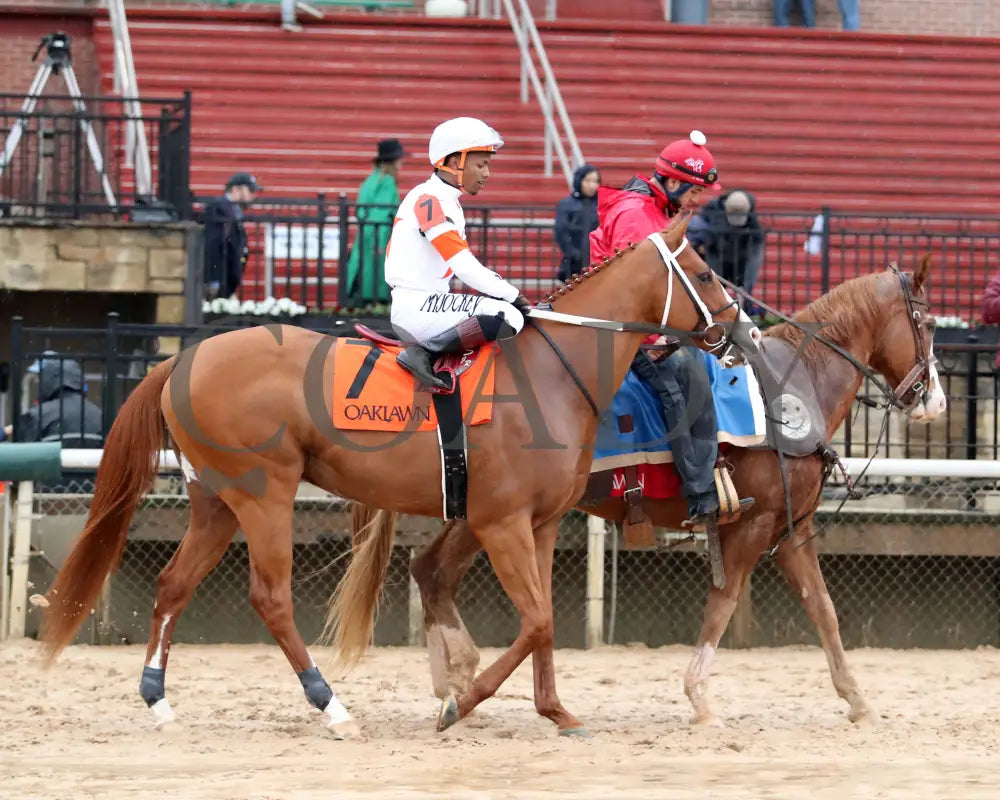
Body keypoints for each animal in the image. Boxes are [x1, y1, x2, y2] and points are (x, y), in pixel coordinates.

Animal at [37, 214, 756, 736]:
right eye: (703, 271)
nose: (744, 333)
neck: (551, 371)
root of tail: (187, 358)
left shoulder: (543, 524)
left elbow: (546, 620)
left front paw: (554, 710)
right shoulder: (500, 523)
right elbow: (534, 622)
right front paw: (460, 703)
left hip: (215, 503)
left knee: (171, 586)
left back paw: (158, 699)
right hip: (265, 496)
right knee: (271, 598)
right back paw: (331, 706)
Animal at [406, 256, 944, 724]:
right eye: (930, 324)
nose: (935, 400)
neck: (790, 386)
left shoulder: (791, 529)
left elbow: (824, 611)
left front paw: (857, 699)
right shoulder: (754, 524)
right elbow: (723, 602)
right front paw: (699, 696)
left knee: (429, 569)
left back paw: (452, 680)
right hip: (497, 514)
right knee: (436, 571)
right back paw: (457, 679)